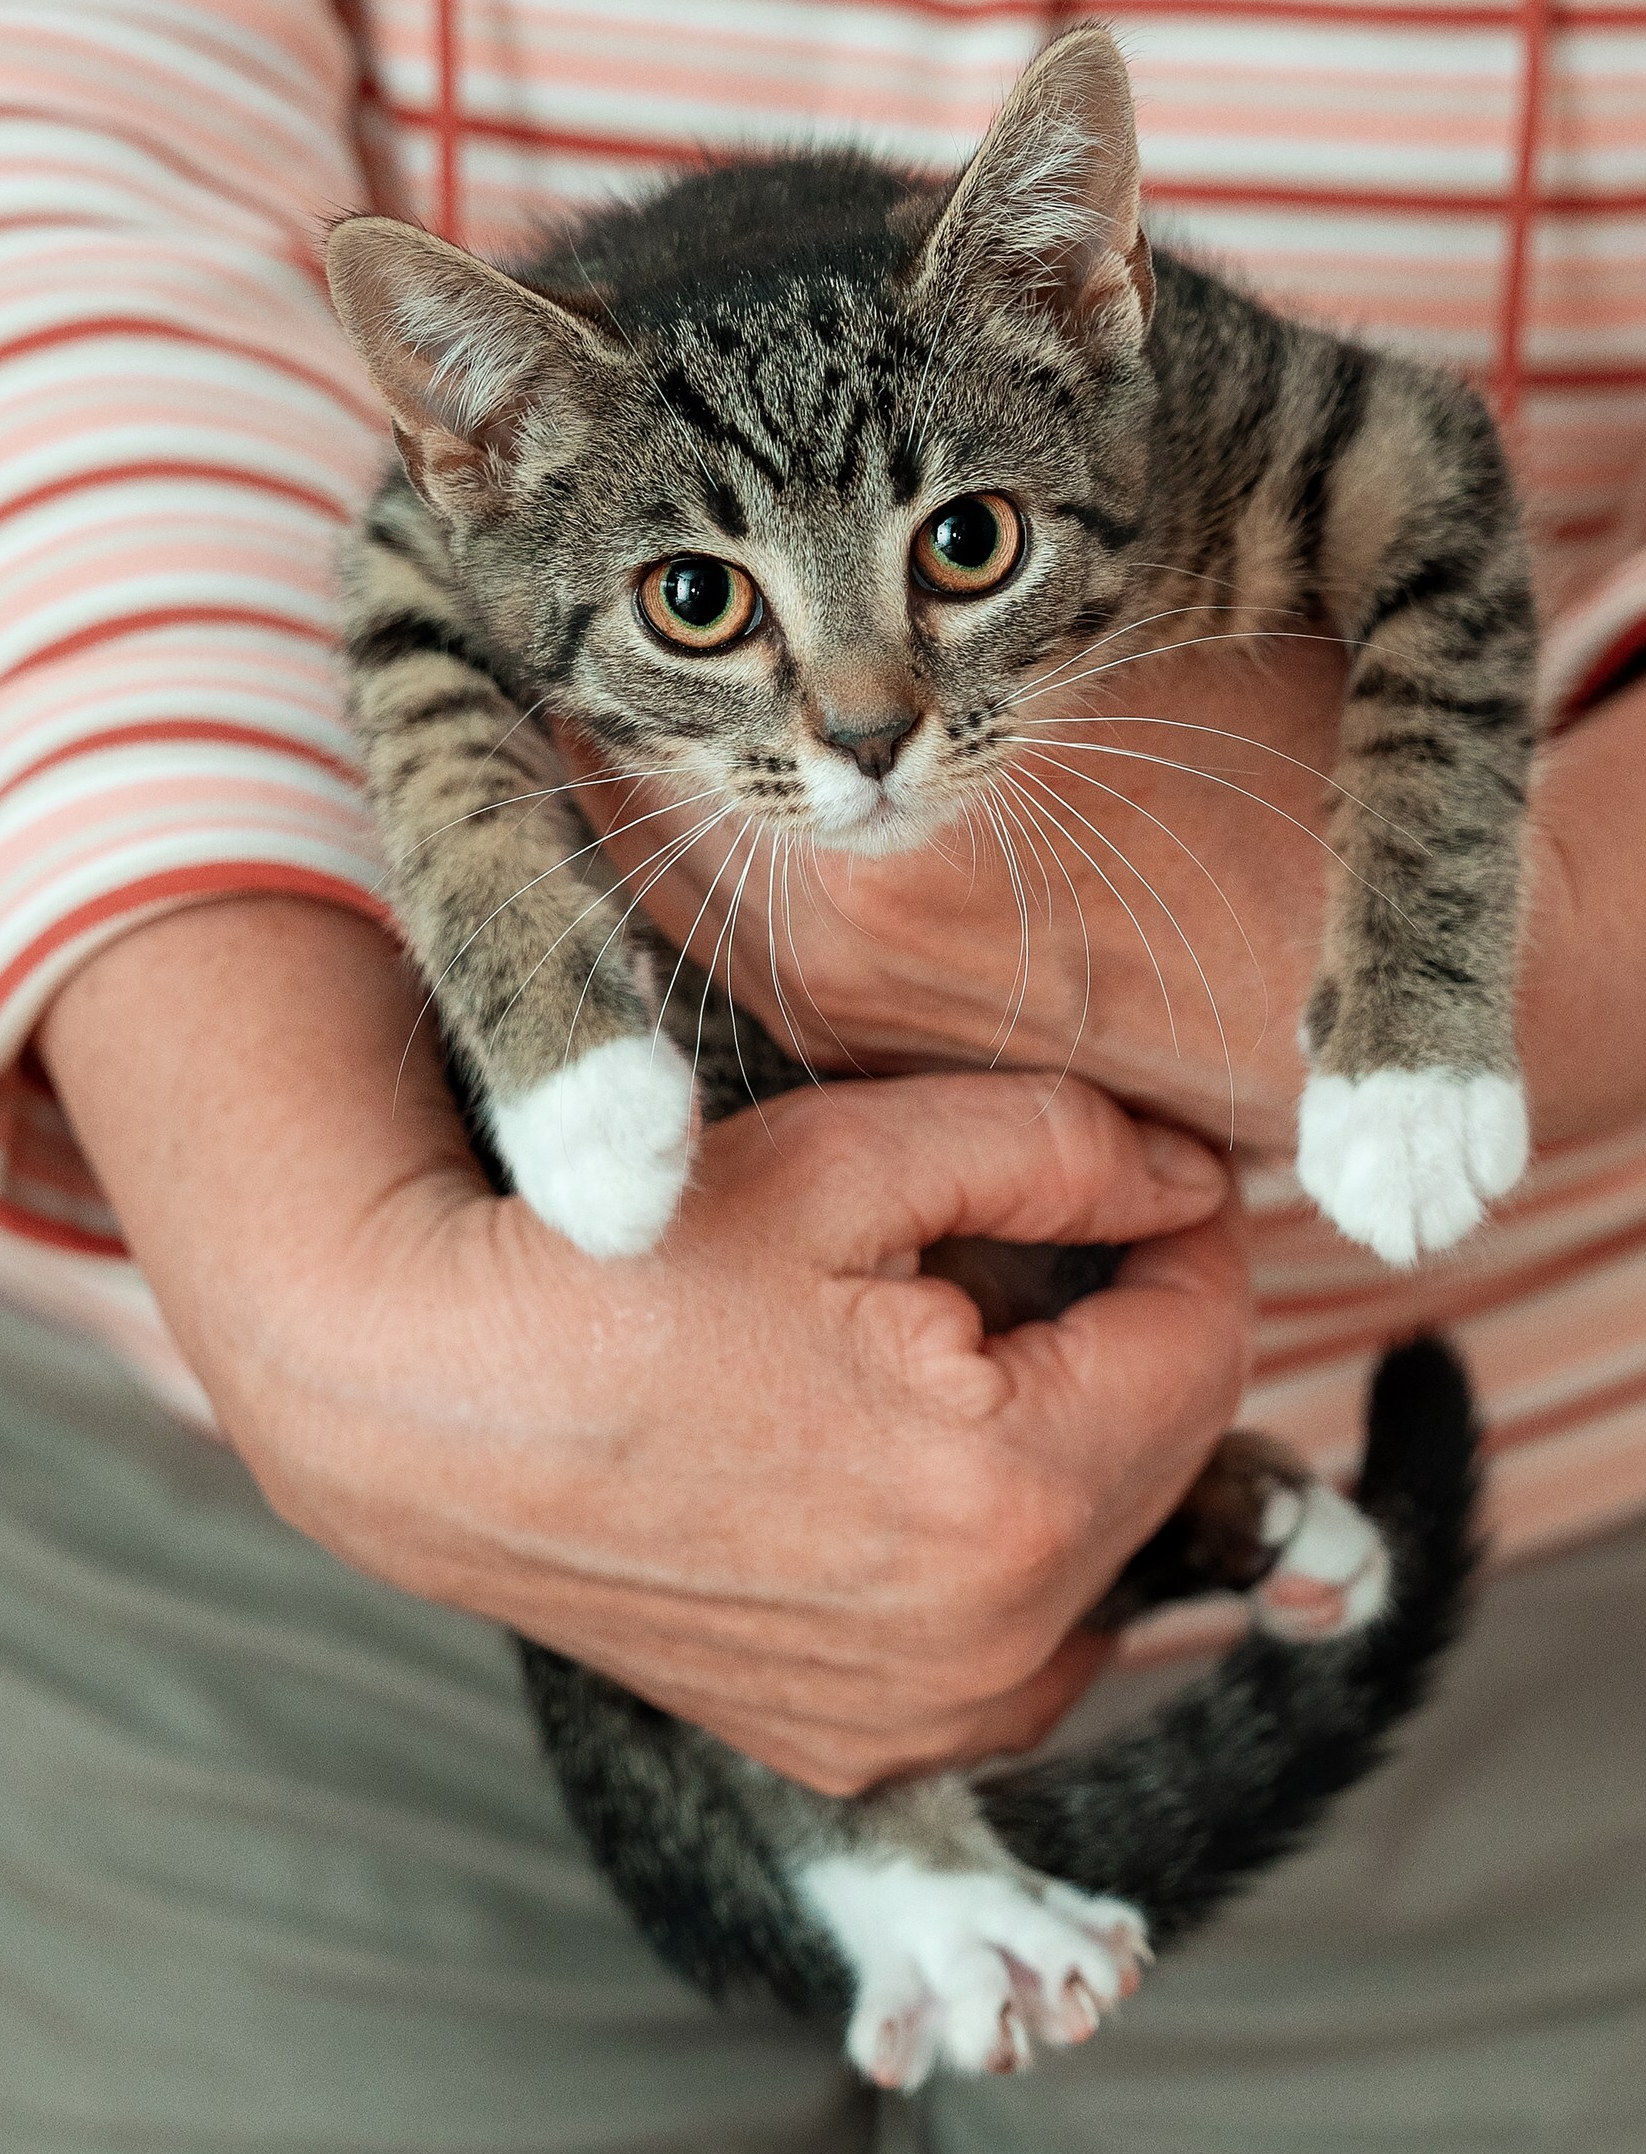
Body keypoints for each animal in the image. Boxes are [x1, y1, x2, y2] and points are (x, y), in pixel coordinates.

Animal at [331, 21, 1516, 2085]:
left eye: (969, 541)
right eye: (695, 598)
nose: (873, 732)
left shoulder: (1314, 412)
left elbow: (1440, 659)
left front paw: (1415, 1083)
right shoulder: (422, 536)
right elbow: (427, 731)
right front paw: (581, 1100)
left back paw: (1275, 1529)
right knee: (741, 1650)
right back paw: (933, 1887)